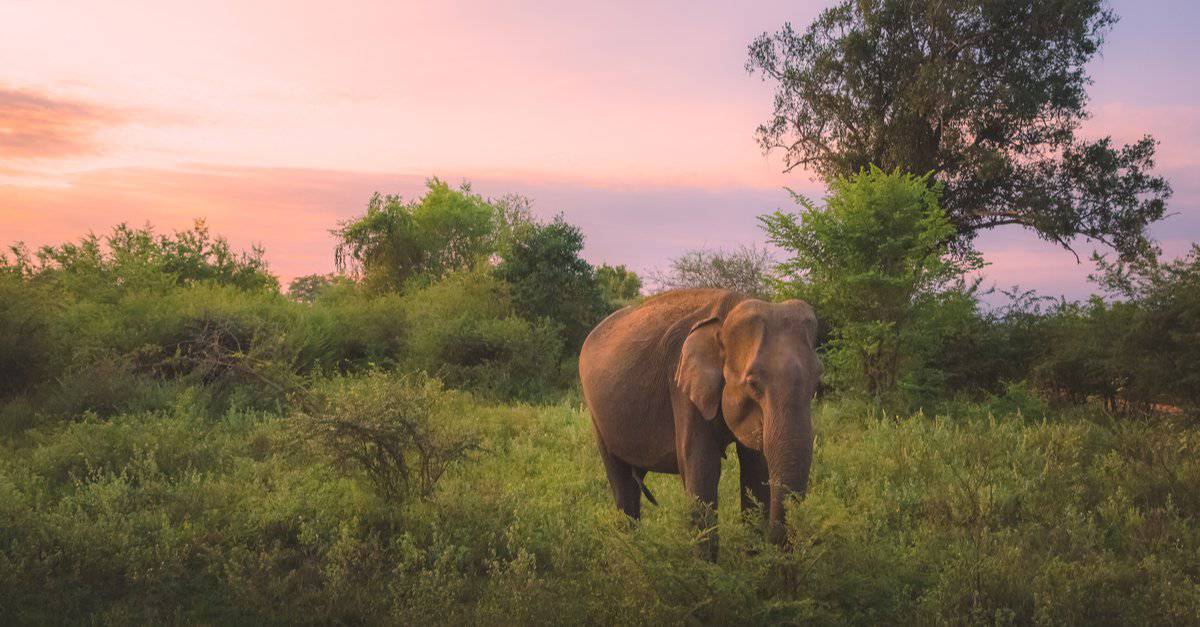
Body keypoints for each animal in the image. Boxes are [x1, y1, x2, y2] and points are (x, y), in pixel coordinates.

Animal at [576, 285, 820, 554]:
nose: (775, 545)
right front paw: (706, 566)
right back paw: (631, 550)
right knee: (622, 485)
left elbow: (756, 470)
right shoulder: (682, 385)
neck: (727, 317)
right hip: (596, 414)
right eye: (753, 384)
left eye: (816, 381)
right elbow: (702, 469)